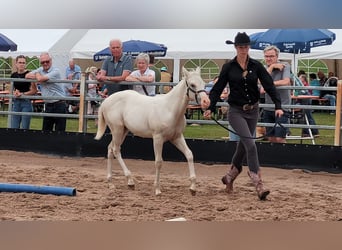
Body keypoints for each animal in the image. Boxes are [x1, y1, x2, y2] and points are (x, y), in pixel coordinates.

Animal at [95, 67, 210, 196]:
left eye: (204, 84)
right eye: (192, 85)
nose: (206, 102)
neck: (170, 109)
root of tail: (106, 101)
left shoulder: (177, 137)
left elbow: (189, 155)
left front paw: (193, 187)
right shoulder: (158, 138)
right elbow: (158, 162)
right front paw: (157, 189)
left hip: (123, 131)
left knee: (110, 149)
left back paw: (111, 182)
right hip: (117, 129)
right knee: (115, 150)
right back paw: (130, 180)